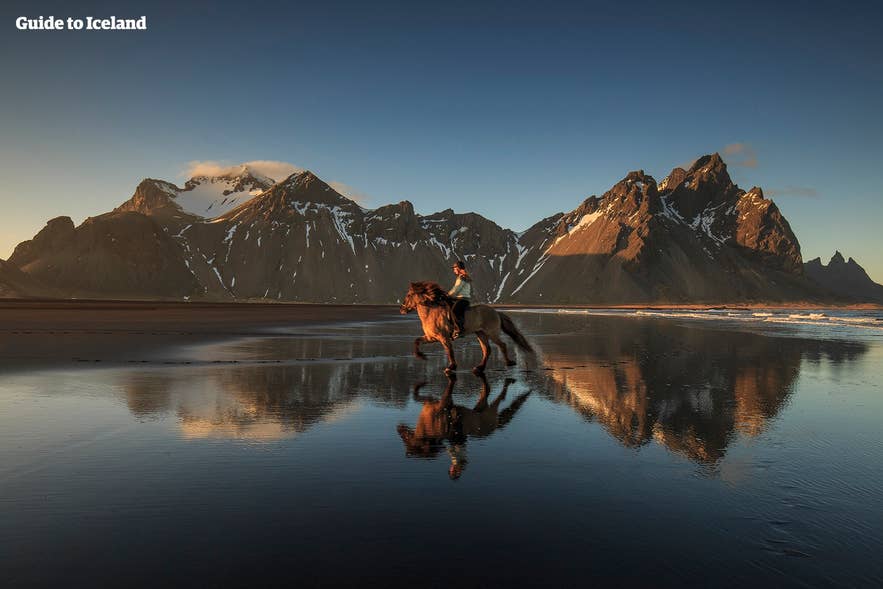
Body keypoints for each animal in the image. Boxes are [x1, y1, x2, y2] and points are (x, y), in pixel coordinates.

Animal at [399, 280, 534, 374]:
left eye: (409, 295)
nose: (402, 309)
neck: (430, 313)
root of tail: (496, 312)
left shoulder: (444, 338)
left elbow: (450, 352)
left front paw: (451, 367)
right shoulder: (431, 337)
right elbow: (416, 341)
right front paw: (421, 356)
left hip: (491, 333)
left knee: (502, 345)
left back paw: (508, 362)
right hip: (480, 333)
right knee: (487, 349)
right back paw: (479, 368)